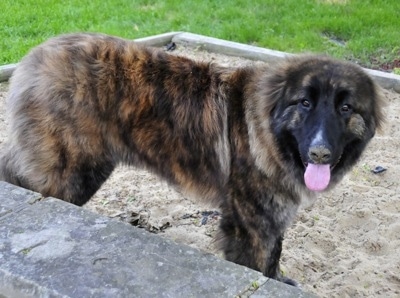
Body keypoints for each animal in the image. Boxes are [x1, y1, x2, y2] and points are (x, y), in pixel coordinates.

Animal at [0, 33, 384, 286]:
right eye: (304, 103)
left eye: (346, 108)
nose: (320, 152)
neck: (271, 129)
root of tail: (36, 55)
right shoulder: (251, 222)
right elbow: (259, 263)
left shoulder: (274, 215)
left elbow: (274, 255)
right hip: (71, 173)